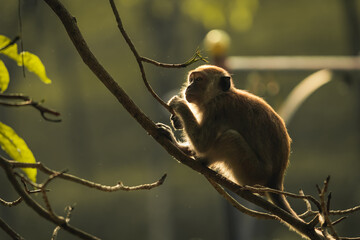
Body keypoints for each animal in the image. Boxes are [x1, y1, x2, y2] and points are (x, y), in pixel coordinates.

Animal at [159, 65, 294, 214]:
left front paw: (180, 104)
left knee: (231, 137)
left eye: (199, 80)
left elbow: (202, 143)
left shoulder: (218, 107)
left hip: (253, 174)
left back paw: (202, 160)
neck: (222, 94)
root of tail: (275, 182)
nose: (189, 87)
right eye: (191, 79)